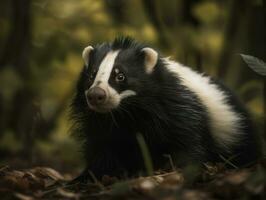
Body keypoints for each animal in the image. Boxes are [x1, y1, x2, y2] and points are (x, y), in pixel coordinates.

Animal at [69, 36, 258, 182]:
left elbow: (187, 144)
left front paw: (178, 169)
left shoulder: (179, 110)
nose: (96, 95)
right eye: (91, 75)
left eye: (120, 76)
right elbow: (101, 146)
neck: (127, 112)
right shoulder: (102, 122)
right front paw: (90, 176)